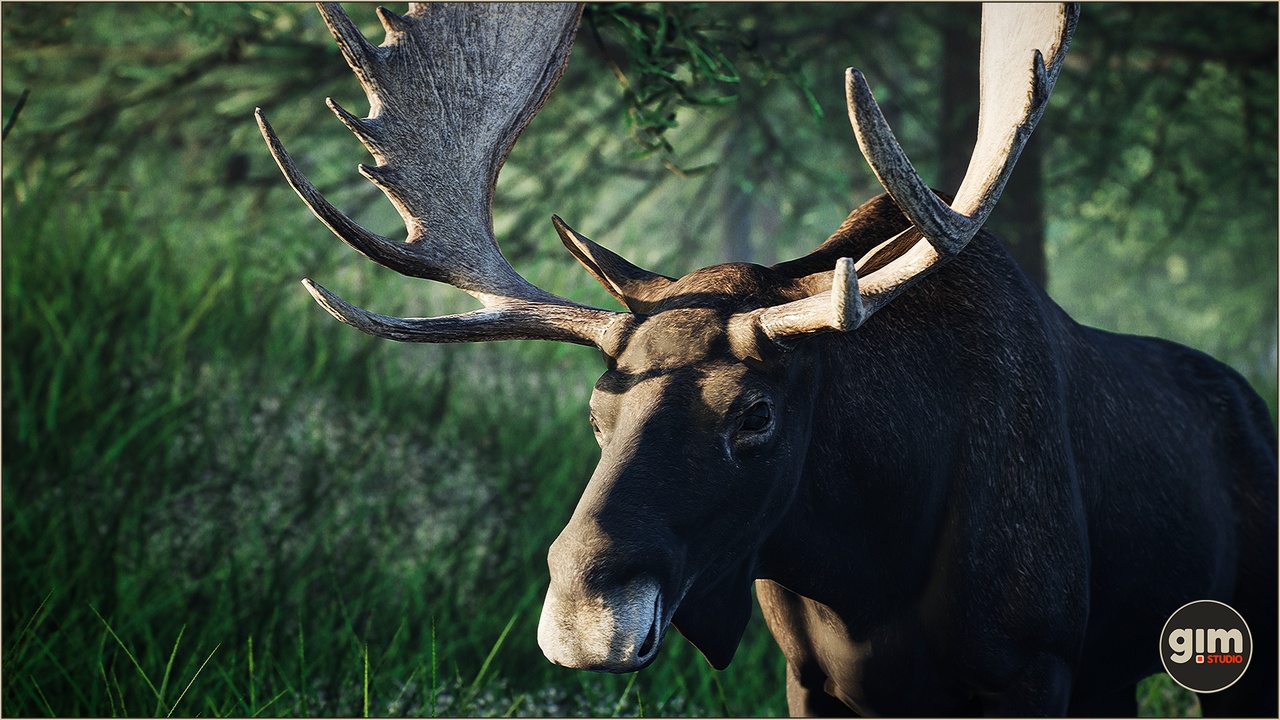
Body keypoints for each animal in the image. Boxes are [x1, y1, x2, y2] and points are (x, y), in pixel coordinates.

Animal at [256, 3, 1277, 716]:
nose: (585, 618)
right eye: (596, 411)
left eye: (756, 413)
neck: (872, 578)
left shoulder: (1036, 667)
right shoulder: (813, 682)